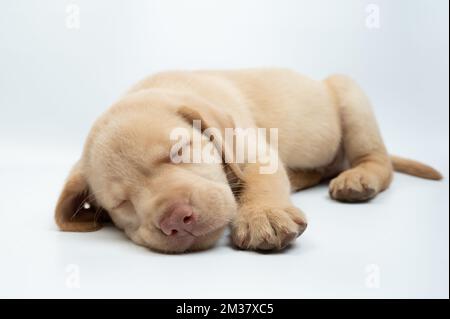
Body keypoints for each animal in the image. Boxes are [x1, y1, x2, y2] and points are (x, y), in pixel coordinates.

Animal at [53, 69, 442, 254]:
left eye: (180, 152)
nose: (176, 219)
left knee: (378, 162)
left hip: (350, 95)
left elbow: (260, 182)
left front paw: (262, 216)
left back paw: (358, 179)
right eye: (121, 203)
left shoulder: (255, 150)